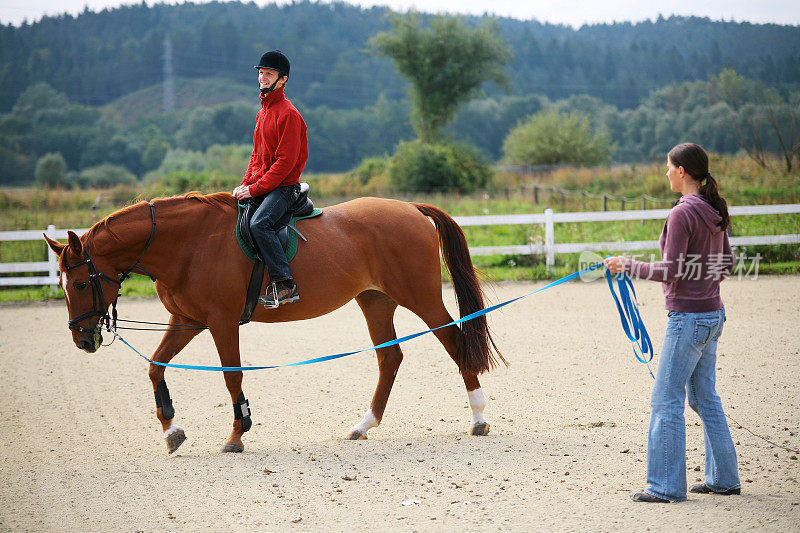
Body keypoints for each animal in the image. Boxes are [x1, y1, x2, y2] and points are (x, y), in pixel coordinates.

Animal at [43, 193, 504, 450]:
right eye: (62, 284)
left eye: (80, 283)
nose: (82, 339)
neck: (188, 244)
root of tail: (410, 208)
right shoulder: (186, 320)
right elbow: (156, 366)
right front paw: (171, 430)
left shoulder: (221, 322)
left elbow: (232, 376)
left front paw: (236, 434)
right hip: (375, 301)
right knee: (389, 359)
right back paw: (363, 425)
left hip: (420, 298)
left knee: (455, 343)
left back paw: (479, 418)